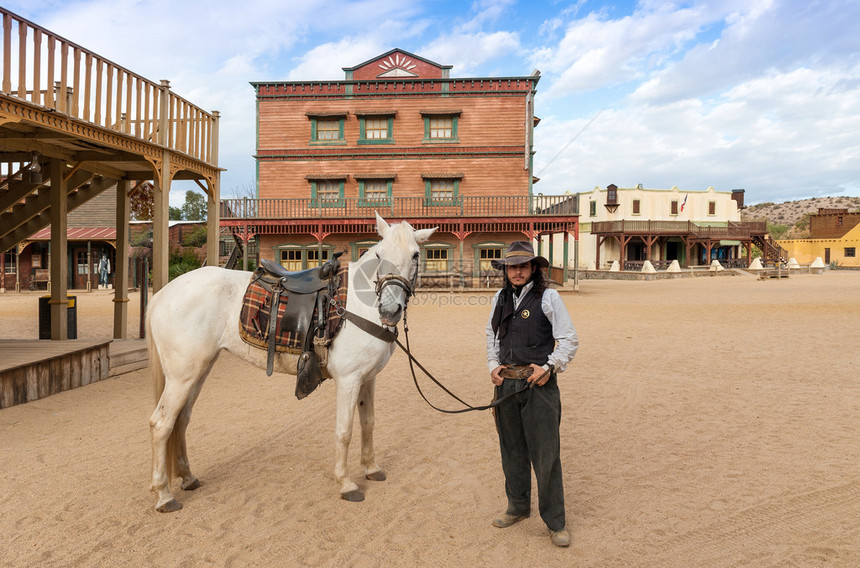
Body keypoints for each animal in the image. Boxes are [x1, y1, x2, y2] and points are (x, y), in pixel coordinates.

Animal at [145, 215, 436, 512]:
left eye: (415, 254)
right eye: (379, 255)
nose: (390, 310)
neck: (356, 306)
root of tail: (162, 294)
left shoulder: (367, 378)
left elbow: (368, 423)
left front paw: (371, 468)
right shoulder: (349, 379)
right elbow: (345, 431)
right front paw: (346, 483)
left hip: (198, 371)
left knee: (181, 420)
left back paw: (187, 477)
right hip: (182, 376)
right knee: (161, 424)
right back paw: (164, 495)